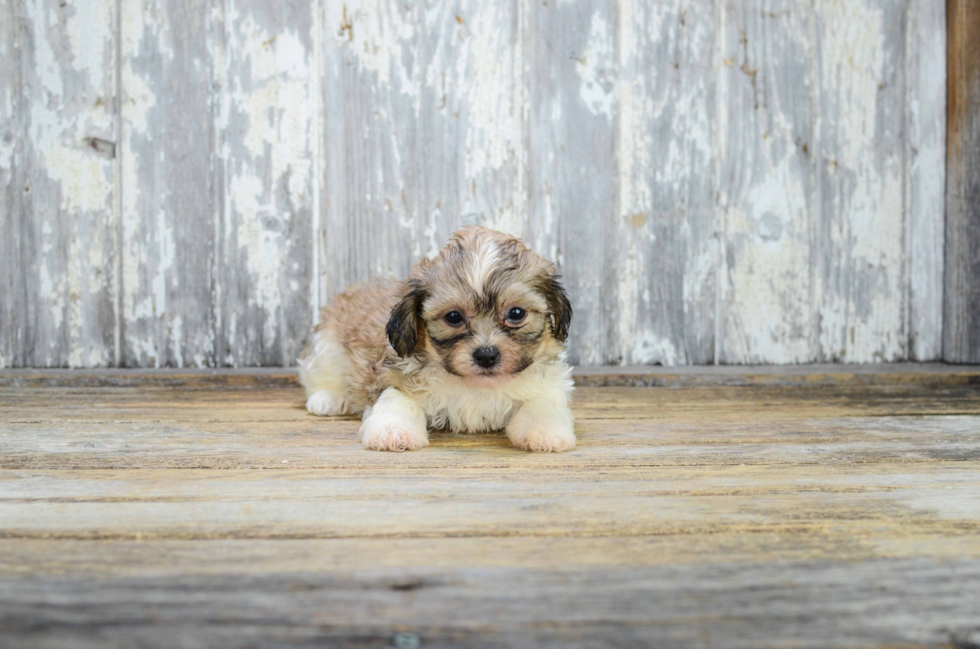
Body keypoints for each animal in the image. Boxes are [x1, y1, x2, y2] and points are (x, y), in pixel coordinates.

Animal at [298, 225, 576, 454]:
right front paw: (392, 431)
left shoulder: (548, 383)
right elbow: (395, 398)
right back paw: (329, 398)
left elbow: (543, 402)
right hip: (326, 347)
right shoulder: (393, 374)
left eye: (516, 313)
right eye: (453, 317)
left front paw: (545, 432)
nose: (486, 355)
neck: (475, 386)